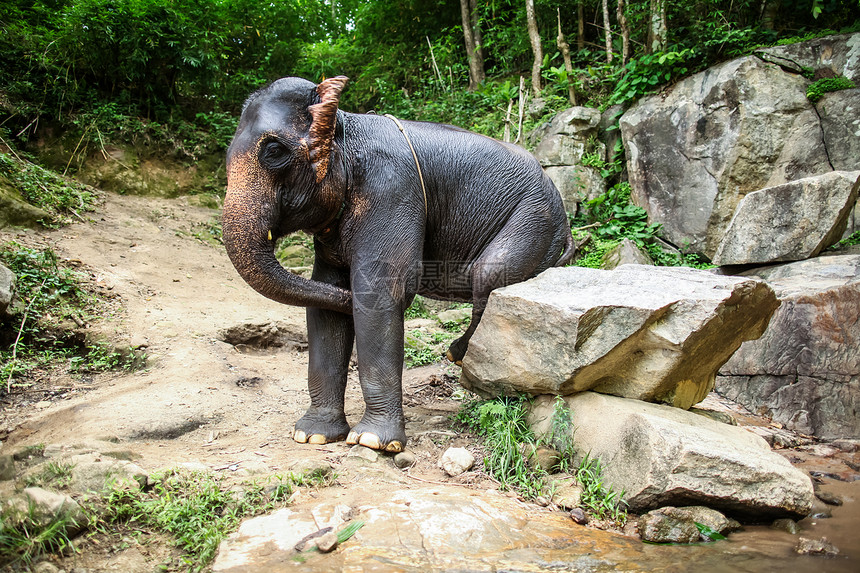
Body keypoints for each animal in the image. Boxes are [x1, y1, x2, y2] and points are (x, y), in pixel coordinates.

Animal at [222, 75, 576, 452]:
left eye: (274, 152)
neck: (347, 123)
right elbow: (326, 304)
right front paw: (312, 435)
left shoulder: (391, 190)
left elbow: (379, 295)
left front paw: (372, 442)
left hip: (532, 221)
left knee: (489, 277)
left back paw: (458, 356)